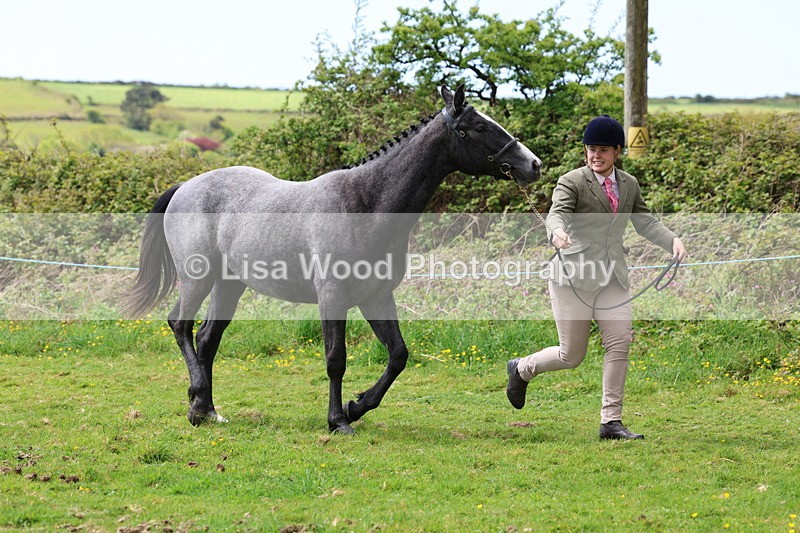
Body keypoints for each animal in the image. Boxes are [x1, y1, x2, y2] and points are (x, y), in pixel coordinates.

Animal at [123, 84, 542, 434]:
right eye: (479, 126)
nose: (533, 164)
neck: (366, 203)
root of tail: (186, 187)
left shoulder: (376, 297)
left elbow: (398, 356)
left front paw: (358, 406)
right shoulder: (333, 298)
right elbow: (335, 359)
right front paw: (339, 420)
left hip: (230, 285)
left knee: (208, 339)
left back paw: (208, 410)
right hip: (198, 278)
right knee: (181, 325)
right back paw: (197, 403)